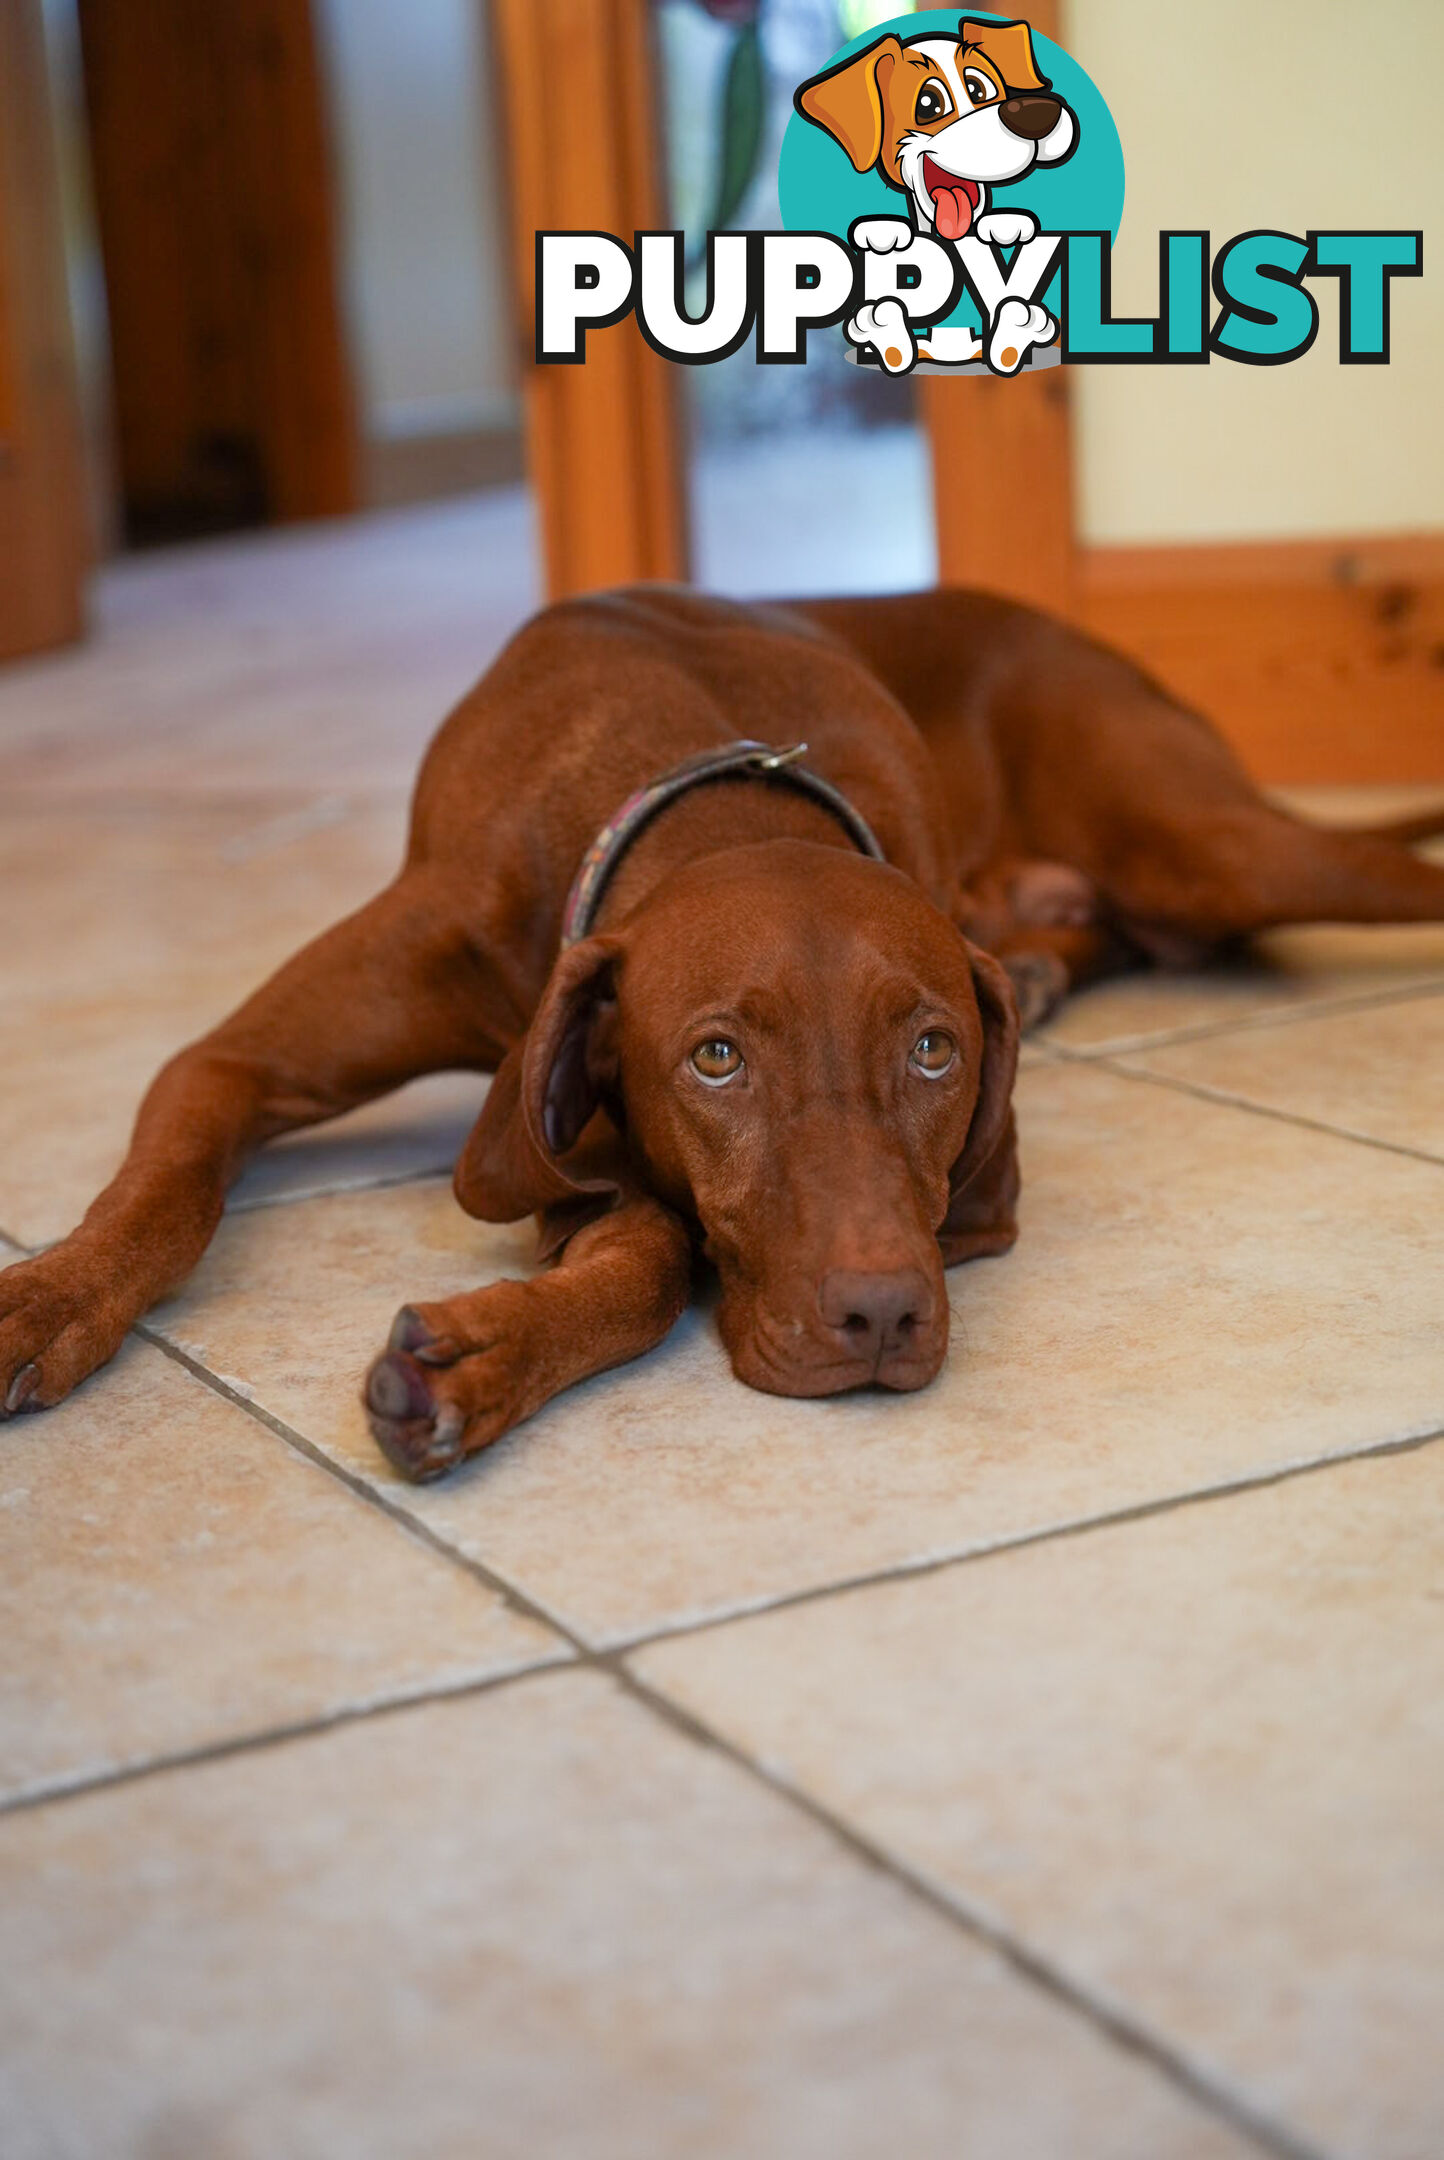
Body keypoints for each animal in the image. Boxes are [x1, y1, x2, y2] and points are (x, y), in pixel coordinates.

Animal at [2, 583, 1441, 1477]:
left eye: (932, 1049)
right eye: (716, 1058)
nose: (880, 1319)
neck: (699, 775)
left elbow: (652, 1262)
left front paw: (475, 1361)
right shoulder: (239, 1062)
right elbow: (167, 1191)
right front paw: (47, 1300)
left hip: (1211, 848)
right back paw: (1041, 962)